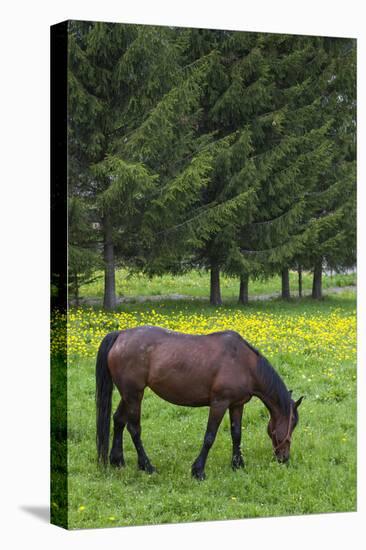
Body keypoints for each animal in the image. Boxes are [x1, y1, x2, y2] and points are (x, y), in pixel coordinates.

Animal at [95, 328, 304, 478]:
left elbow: (236, 434)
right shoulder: (219, 403)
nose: (284, 458)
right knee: (134, 429)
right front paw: (198, 470)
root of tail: (120, 335)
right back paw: (147, 466)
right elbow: (209, 436)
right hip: (134, 395)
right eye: (292, 424)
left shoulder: (237, 404)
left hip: (128, 394)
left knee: (118, 420)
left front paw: (237, 464)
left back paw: (117, 460)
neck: (245, 363)